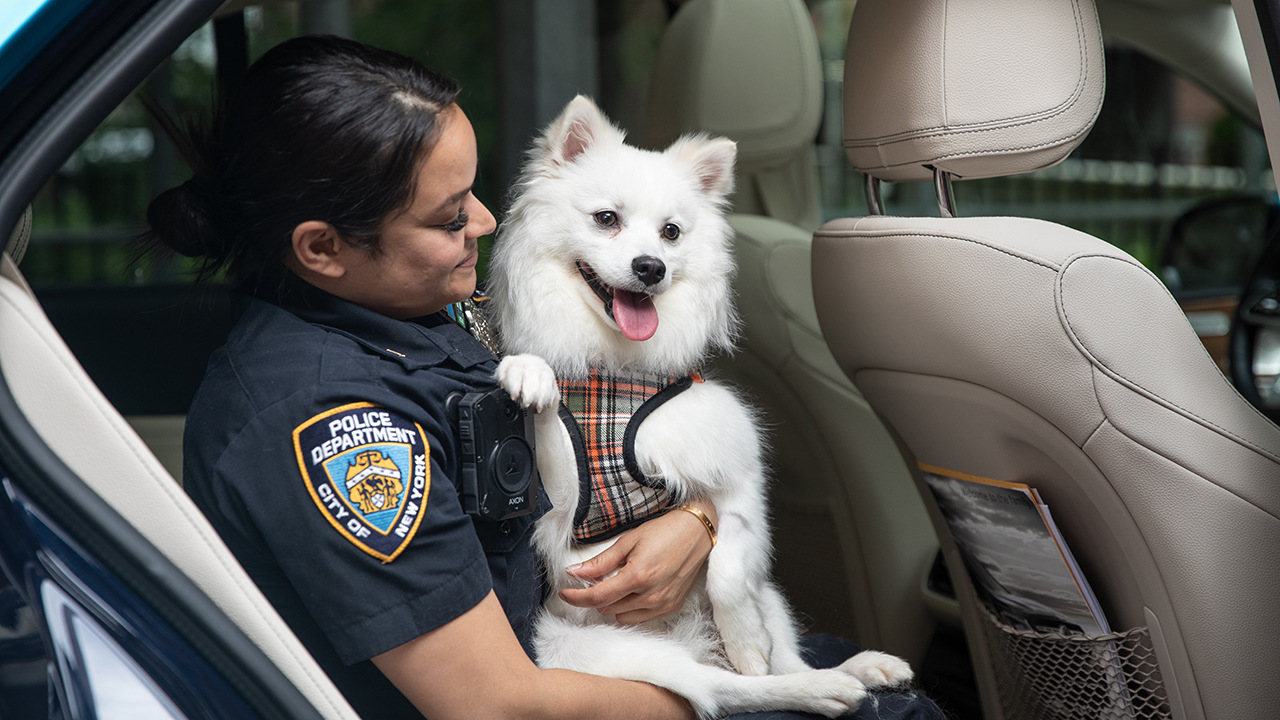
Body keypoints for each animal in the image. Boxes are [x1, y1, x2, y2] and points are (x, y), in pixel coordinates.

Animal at [483, 96, 916, 717]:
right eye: (606, 219)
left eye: (671, 233)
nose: (651, 267)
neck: (618, 375)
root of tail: (682, 641)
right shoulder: (558, 499)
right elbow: (542, 420)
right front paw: (529, 371)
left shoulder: (739, 486)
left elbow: (728, 569)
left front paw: (745, 641)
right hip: (593, 648)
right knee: (725, 689)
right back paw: (825, 689)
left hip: (770, 601)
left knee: (777, 659)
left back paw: (855, 667)